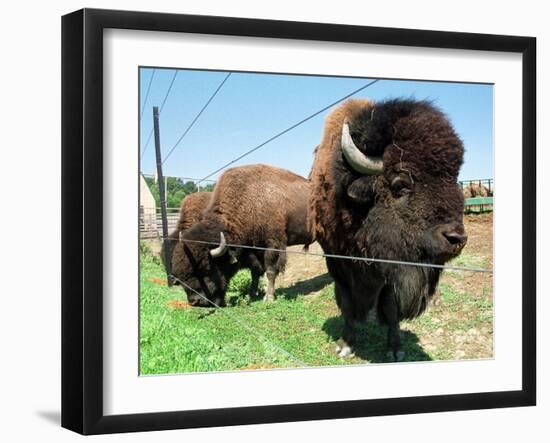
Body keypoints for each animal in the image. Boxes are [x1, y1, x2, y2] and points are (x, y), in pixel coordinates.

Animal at [171, 165, 314, 306]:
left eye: (206, 269)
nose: (195, 301)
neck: (249, 200)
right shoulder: (255, 250)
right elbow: (256, 272)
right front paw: (252, 293)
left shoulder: (273, 244)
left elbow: (270, 271)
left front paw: (268, 297)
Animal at [310, 99, 470, 362]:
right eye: (401, 185)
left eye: (453, 180)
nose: (457, 238)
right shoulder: (336, 263)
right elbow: (346, 303)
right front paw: (345, 344)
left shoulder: (391, 273)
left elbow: (391, 308)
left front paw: (395, 349)